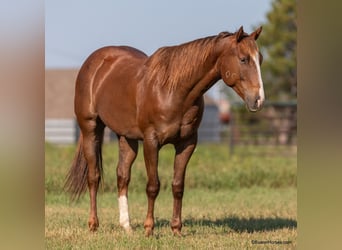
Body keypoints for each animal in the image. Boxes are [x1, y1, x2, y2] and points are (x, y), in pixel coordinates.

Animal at [65, 26, 266, 235]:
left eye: (260, 59)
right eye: (243, 59)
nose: (258, 100)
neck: (174, 90)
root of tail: (94, 62)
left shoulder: (187, 143)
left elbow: (178, 186)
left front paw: (176, 229)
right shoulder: (151, 142)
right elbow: (153, 186)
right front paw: (149, 229)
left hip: (126, 137)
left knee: (122, 176)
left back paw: (127, 225)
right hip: (90, 129)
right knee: (94, 177)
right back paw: (93, 224)